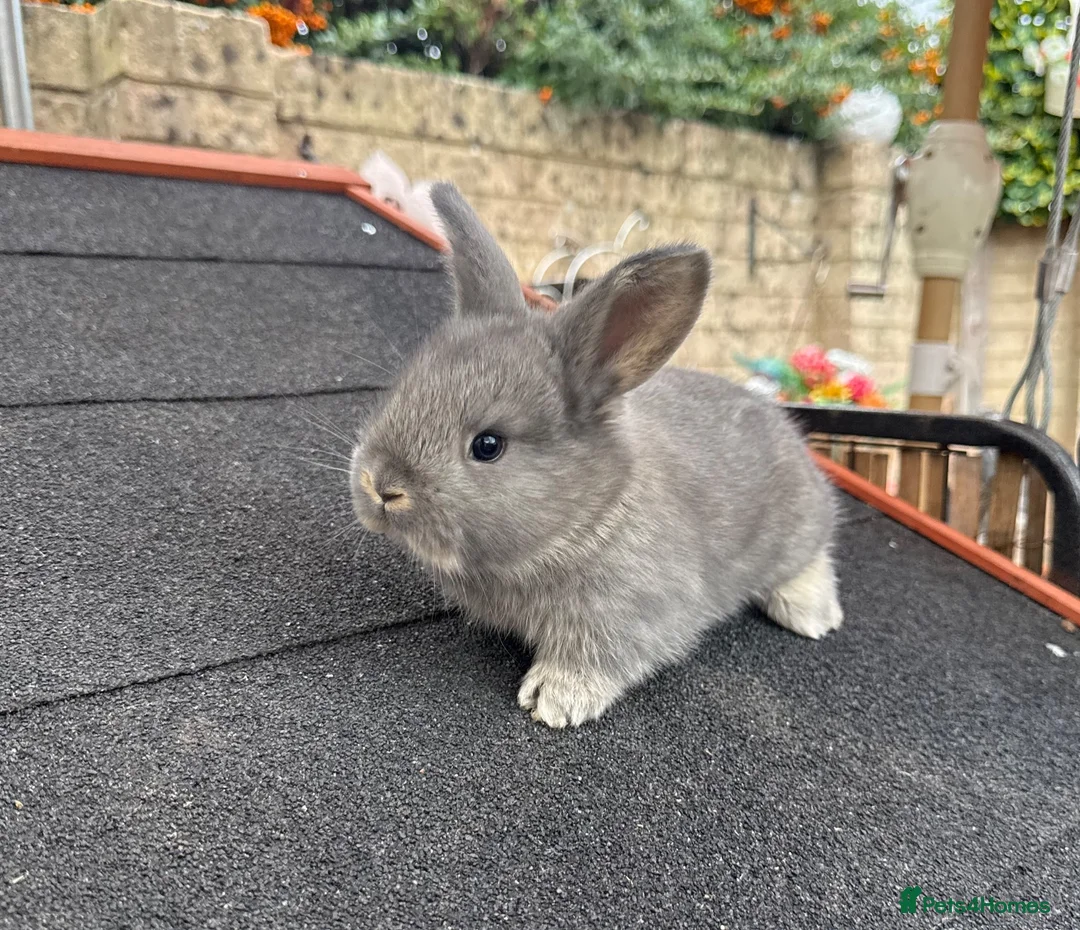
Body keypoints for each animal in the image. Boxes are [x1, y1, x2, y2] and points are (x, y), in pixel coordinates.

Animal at [350, 182, 843, 729]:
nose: (381, 486)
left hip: (795, 532)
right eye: (403, 392)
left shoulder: (627, 615)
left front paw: (553, 700)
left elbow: (600, 656)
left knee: (814, 558)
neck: (589, 516)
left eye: (488, 445)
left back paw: (812, 617)